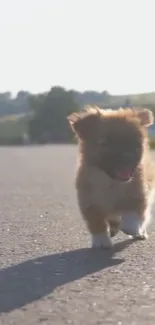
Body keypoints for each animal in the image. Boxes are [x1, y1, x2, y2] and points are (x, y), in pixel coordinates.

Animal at [67, 106, 155, 248]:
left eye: (135, 144)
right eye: (106, 143)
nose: (127, 156)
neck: (111, 182)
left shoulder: (139, 193)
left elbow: (134, 213)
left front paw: (132, 227)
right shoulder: (89, 201)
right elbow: (96, 222)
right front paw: (101, 240)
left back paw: (140, 233)